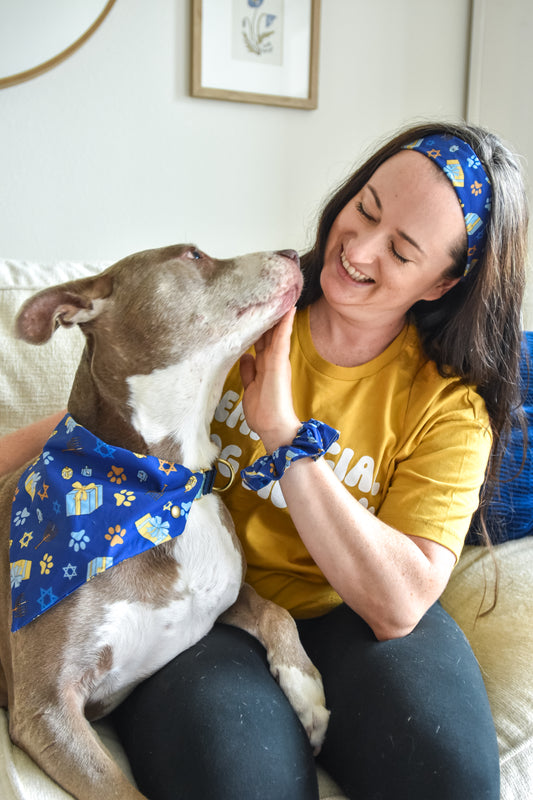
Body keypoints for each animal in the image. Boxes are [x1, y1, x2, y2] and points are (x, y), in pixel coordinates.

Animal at [0, 244, 328, 800]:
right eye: (193, 254)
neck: (165, 485)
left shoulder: (231, 594)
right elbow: (120, 790)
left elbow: (277, 611)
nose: (291, 252)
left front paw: (307, 692)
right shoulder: (47, 708)